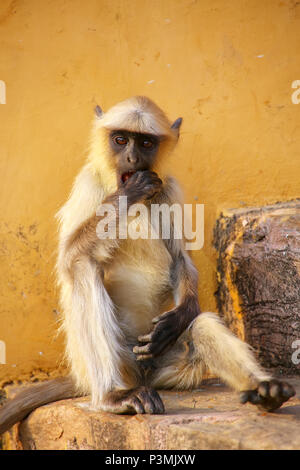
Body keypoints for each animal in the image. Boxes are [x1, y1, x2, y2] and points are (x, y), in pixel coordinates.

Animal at [0, 95, 296, 434]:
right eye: (120, 140)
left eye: (144, 142)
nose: (131, 157)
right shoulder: (87, 182)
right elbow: (68, 256)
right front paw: (129, 193)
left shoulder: (169, 188)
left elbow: (180, 261)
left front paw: (177, 318)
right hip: (118, 361)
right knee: (82, 265)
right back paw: (112, 397)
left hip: (162, 366)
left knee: (201, 325)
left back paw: (265, 390)